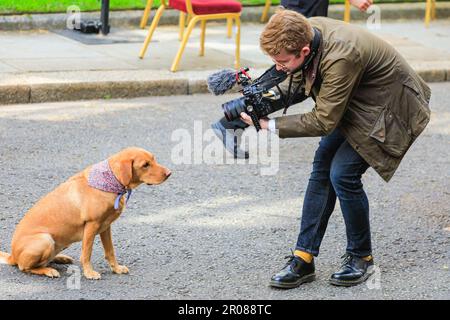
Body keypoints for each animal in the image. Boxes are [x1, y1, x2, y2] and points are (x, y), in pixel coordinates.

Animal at [0, 148, 171, 280]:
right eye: (145, 165)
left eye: (154, 159)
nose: (170, 173)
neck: (111, 181)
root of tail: (12, 255)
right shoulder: (91, 225)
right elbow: (86, 253)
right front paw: (89, 273)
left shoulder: (105, 227)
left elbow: (110, 251)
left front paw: (116, 268)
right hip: (45, 239)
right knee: (24, 267)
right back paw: (48, 270)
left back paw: (60, 258)